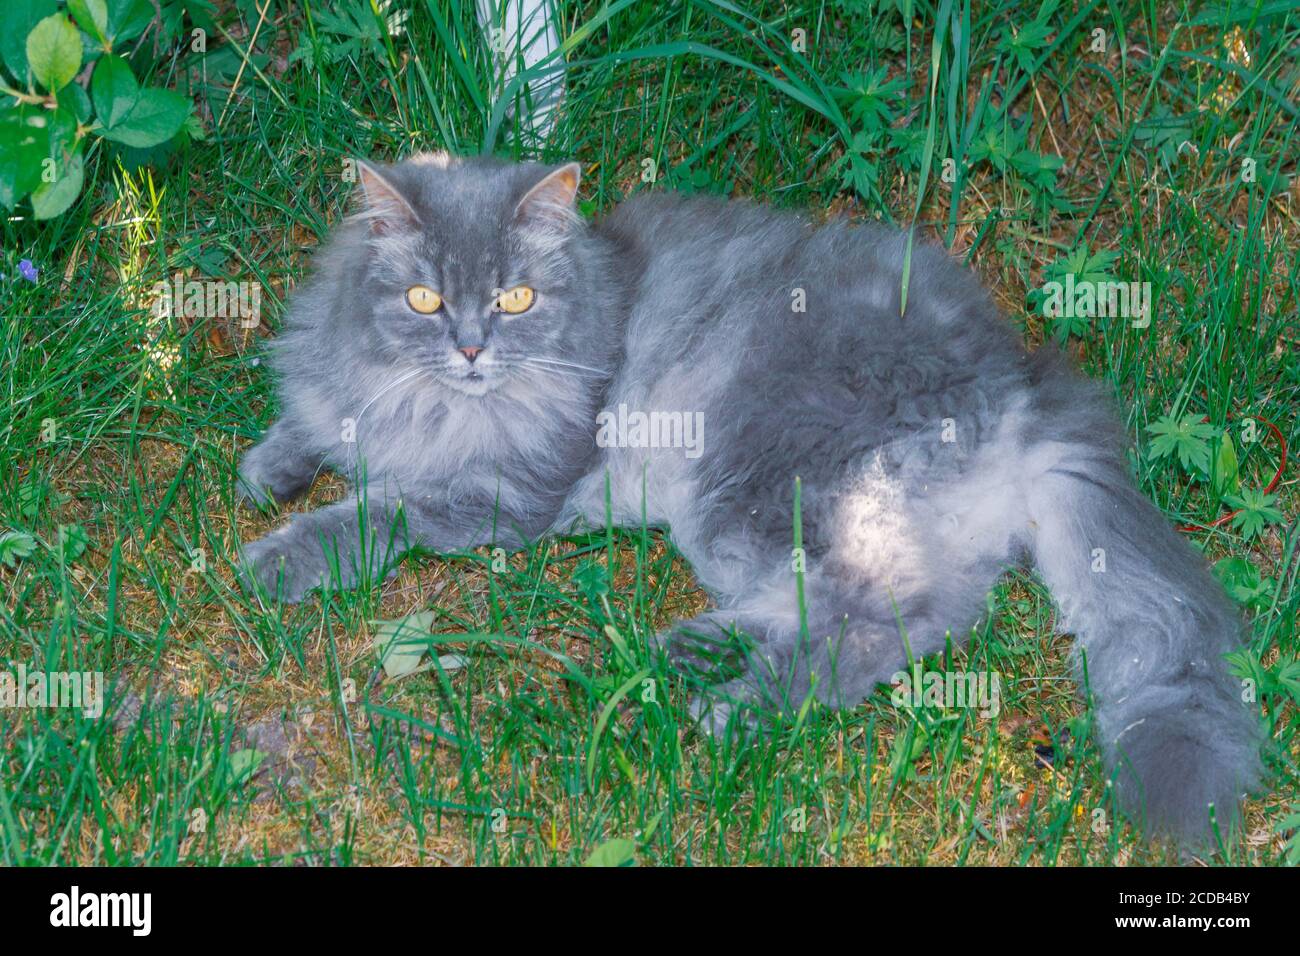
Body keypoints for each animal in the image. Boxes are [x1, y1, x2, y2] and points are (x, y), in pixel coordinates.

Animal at [233, 153, 1258, 848]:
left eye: (516, 299)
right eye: (423, 299)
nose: (474, 349)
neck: (426, 402)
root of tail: (1025, 381)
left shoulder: (506, 494)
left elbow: (377, 513)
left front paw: (277, 556)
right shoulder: (345, 400)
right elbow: (307, 430)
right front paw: (268, 470)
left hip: (750, 486)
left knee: (886, 619)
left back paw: (734, 706)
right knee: (886, 607)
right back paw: (684, 650)